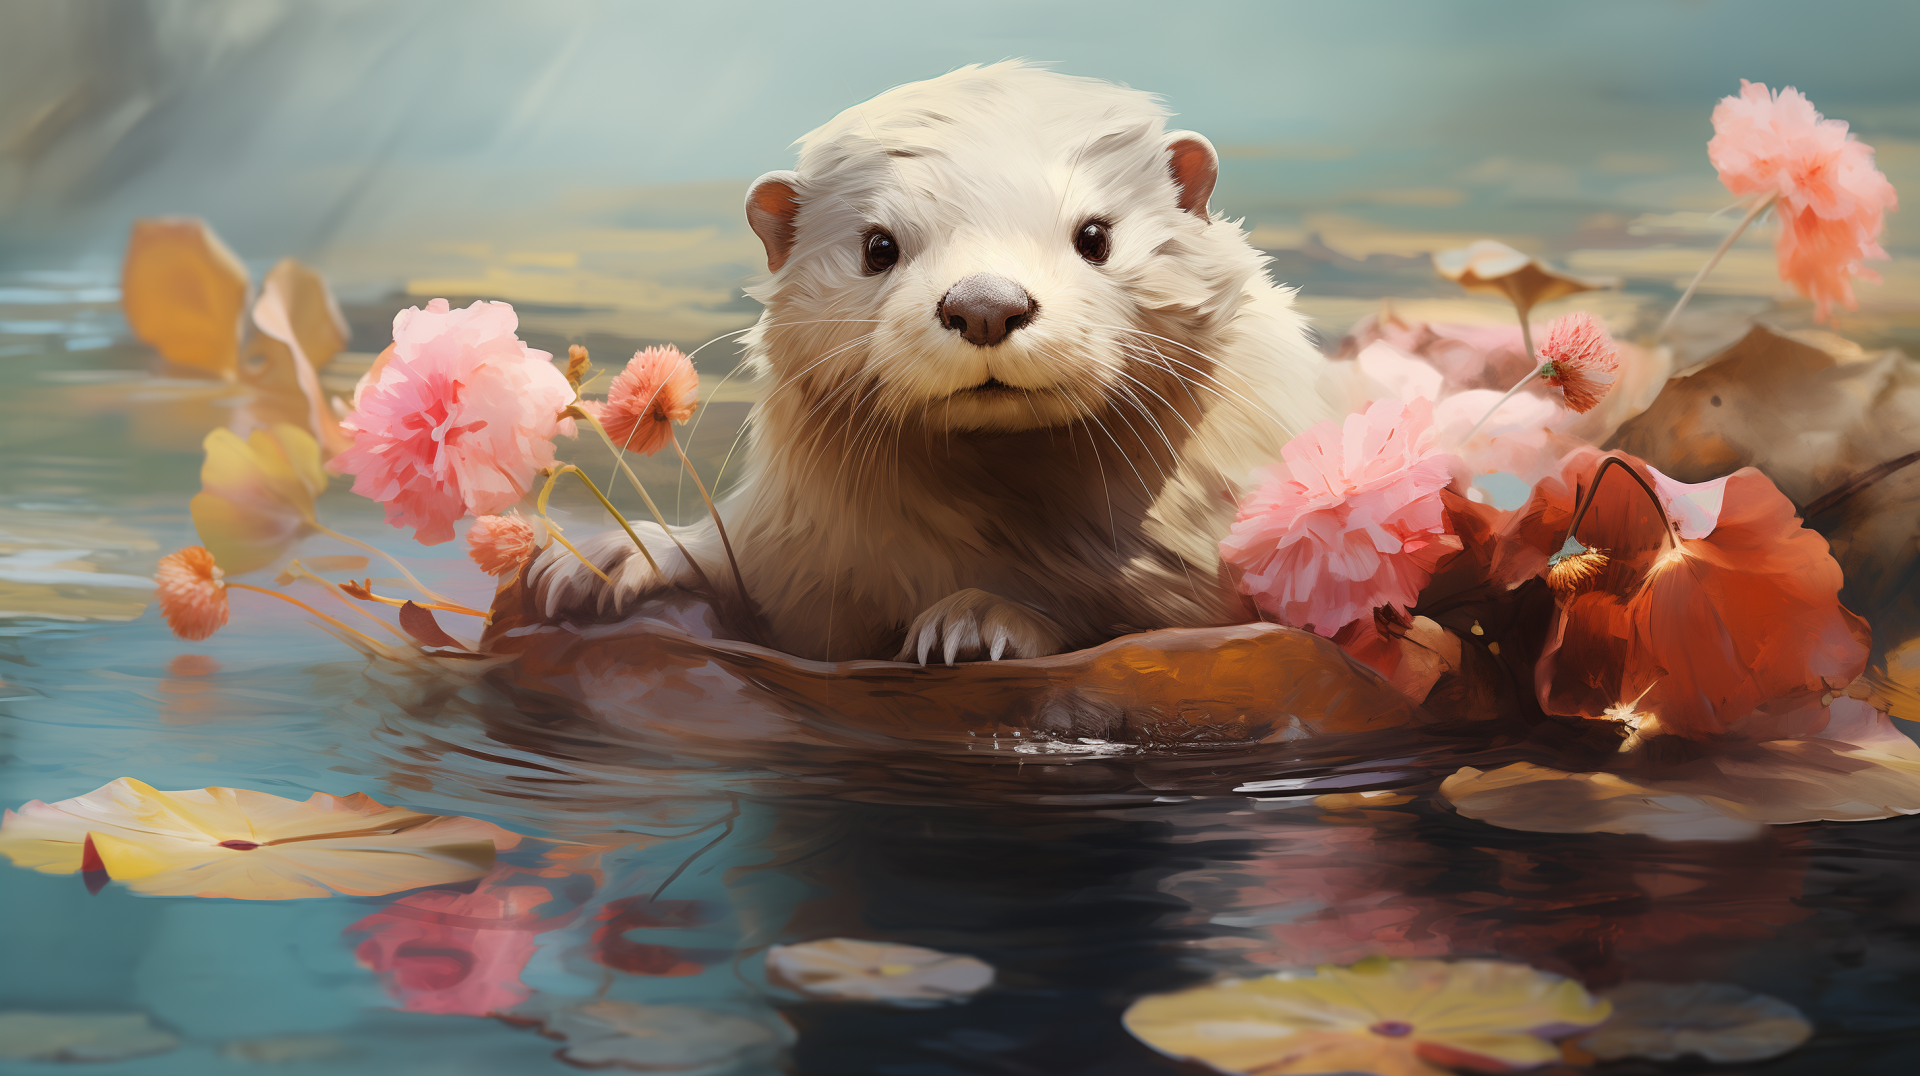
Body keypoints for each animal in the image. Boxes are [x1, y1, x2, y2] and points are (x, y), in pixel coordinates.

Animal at [531, 62, 1332, 663]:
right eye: (878, 246)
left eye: (1095, 236)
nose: (985, 304)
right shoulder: (793, 553)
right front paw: (611, 557)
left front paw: (981, 619)